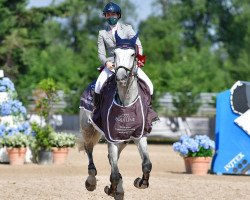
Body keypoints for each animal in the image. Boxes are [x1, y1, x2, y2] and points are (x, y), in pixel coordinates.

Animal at [79, 32, 152, 199]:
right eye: (114, 54)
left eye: (133, 54)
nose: (121, 76)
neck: (126, 101)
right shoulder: (111, 137)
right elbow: (113, 174)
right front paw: (111, 189)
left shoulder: (139, 135)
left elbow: (146, 164)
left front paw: (140, 182)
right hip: (87, 128)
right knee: (89, 149)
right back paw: (91, 181)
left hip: (123, 140)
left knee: (113, 159)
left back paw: (119, 187)